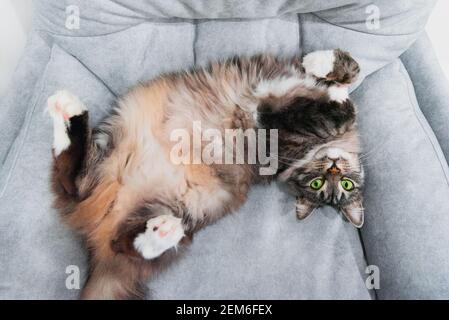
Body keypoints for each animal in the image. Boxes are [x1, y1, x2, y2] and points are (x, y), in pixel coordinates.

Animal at [48, 48, 364, 298]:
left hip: (191, 205)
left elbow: (334, 109)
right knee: (73, 182)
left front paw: (331, 93)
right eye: (319, 182)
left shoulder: (284, 135)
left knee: (119, 236)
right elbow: (351, 71)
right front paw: (323, 63)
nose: (333, 169)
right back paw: (67, 114)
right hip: (115, 138)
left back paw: (161, 233)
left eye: (342, 185)